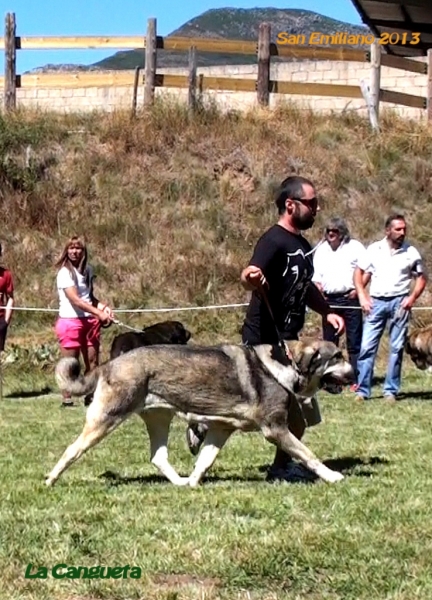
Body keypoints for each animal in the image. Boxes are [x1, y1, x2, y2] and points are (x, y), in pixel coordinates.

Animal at [46, 338, 354, 488]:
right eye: (337, 356)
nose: (354, 373)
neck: (284, 365)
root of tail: (109, 364)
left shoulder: (221, 429)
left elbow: (204, 460)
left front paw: (194, 482)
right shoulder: (276, 429)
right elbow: (308, 455)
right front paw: (332, 477)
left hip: (159, 419)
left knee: (158, 457)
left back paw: (181, 483)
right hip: (104, 420)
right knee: (72, 449)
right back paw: (51, 479)